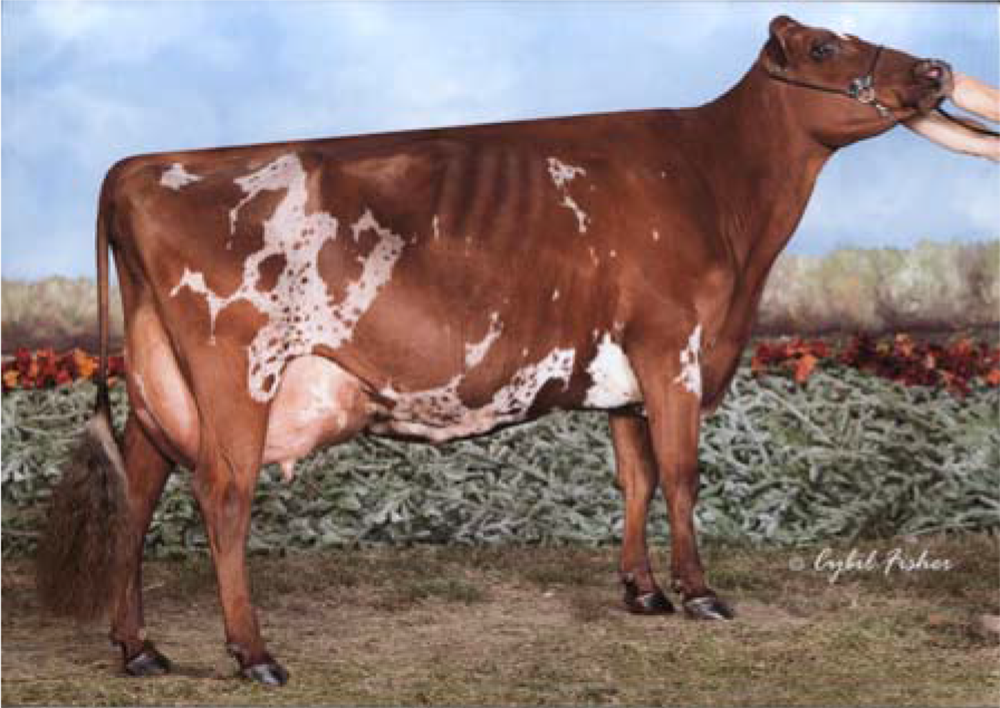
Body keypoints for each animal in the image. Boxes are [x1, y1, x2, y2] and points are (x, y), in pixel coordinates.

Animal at [37, 16, 959, 686]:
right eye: (826, 46)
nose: (938, 69)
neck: (717, 190)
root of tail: (138, 166)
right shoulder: (673, 349)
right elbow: (682, 474)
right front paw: (701, 594)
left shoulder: (622, 372)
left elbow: (635, 477)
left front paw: (643, 591)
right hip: (238, 373)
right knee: (222, 496)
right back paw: (253, 654)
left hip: (162, 385)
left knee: (139, 492)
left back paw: (139, 648)